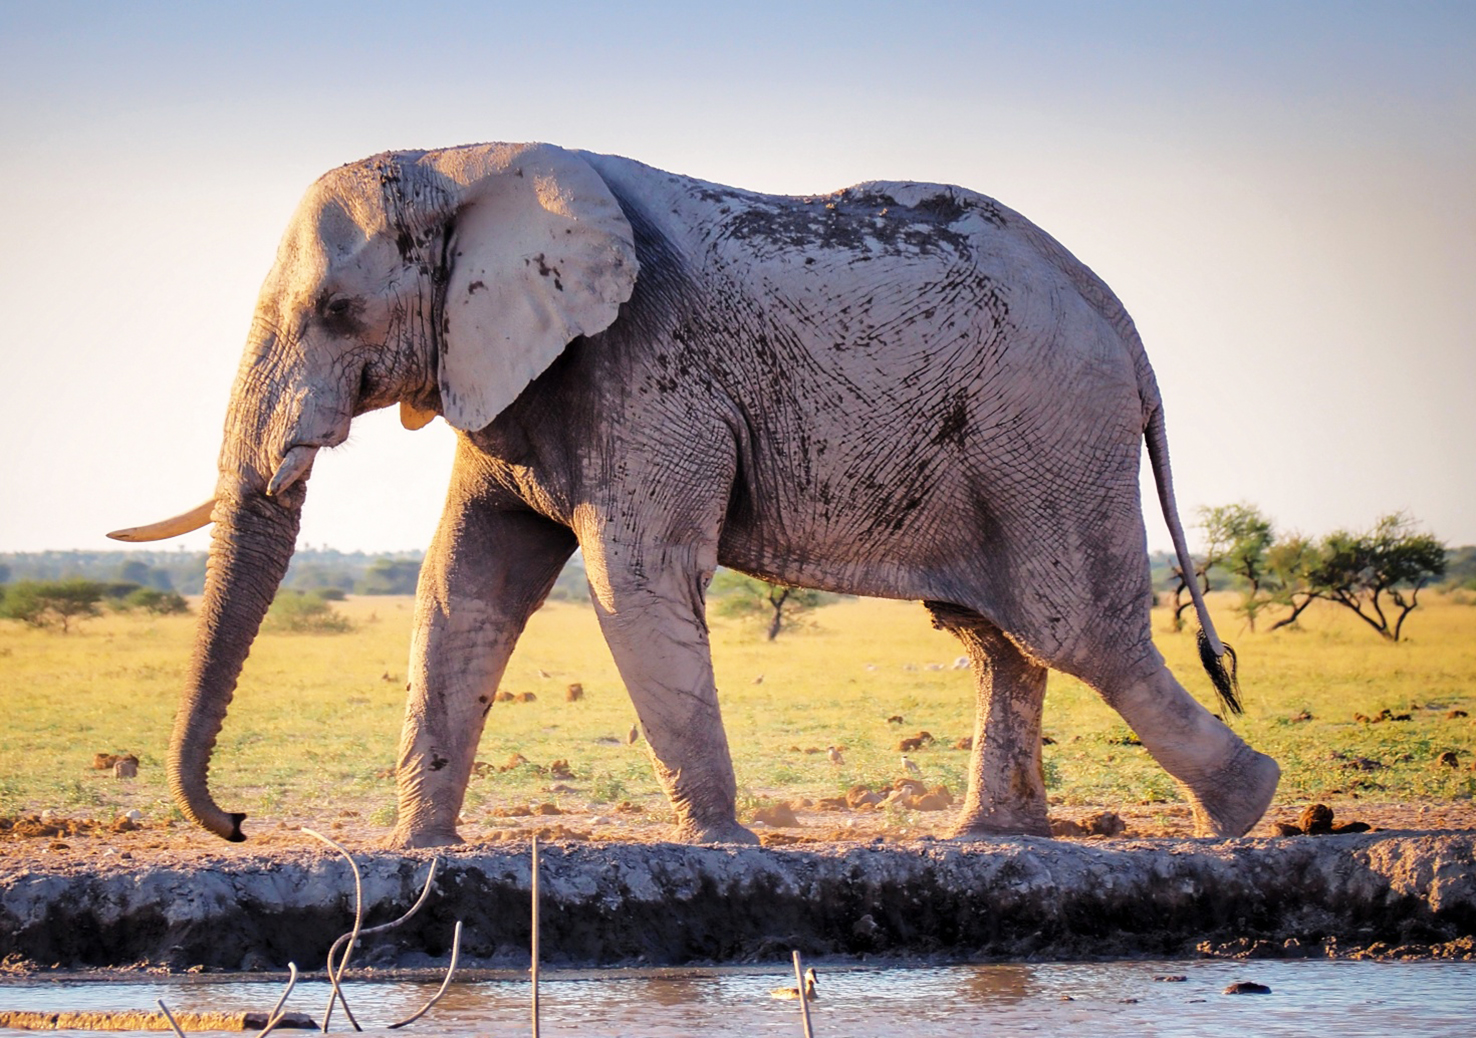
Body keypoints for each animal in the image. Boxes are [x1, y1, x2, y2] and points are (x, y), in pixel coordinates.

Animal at [112, 141, 1281, 850]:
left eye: (338, 311)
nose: (239, 825)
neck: (464, 160)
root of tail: (1119, 315)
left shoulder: (644, 363)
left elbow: (636, 579)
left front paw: (724, 844)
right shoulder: (516, 370)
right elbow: (463, 584)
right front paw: (419, 850)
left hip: (1047, 432)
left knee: (1077, 628)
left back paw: (1245, 810)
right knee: (998, 635)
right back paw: (992, 840)